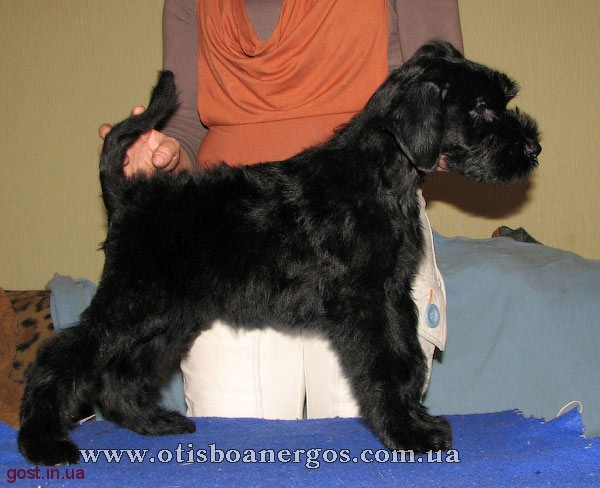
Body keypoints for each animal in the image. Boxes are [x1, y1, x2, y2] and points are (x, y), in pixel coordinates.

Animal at [18, 41, 540, 465]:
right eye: (481, 108)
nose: (533, 148)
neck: (381, 173)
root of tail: (129, 194)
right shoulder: (368, 300)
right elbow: (388, 363)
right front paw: (407, 433)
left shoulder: (393, 295)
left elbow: (407, 358)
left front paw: (415, 421)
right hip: (132, 301)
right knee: (60, 357)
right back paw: (43, 442)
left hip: (166, 317)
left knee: (120, 373)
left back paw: (154, 422)